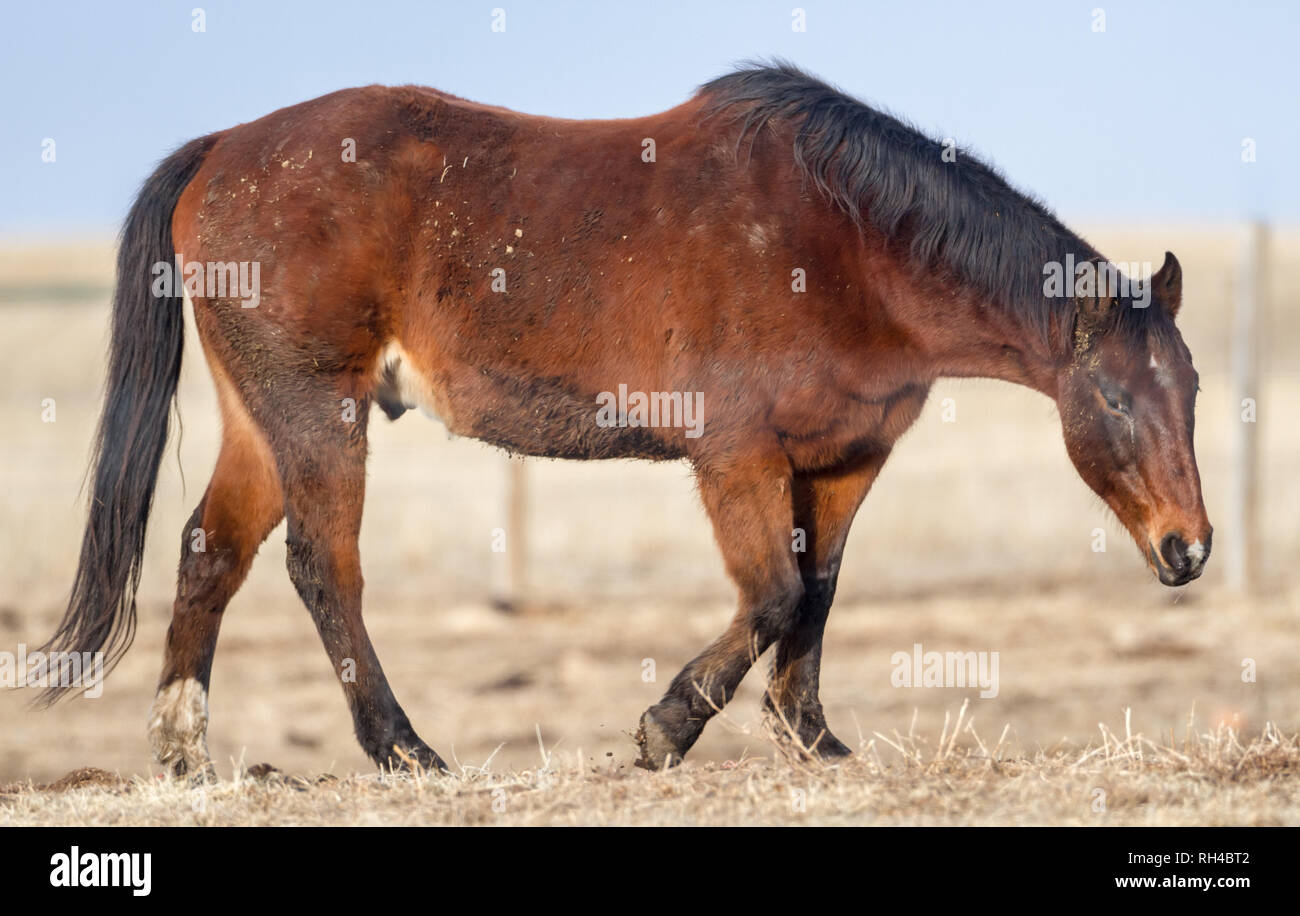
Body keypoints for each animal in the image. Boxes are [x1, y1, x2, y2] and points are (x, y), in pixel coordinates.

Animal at [35, 60, 1206, 774]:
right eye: (1111, 397)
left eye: (1190, 390)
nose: (1187, 549)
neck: (845, 242)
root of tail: (224, 146)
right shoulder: (735, 455)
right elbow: (774, 593)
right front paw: (664, 728)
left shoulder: (845, 459)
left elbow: (818, 593)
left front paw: (810, 738)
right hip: (319, 415)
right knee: (324, 571)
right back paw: (403, 749)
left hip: (263, 420)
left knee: (208, 552)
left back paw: (184, 751)